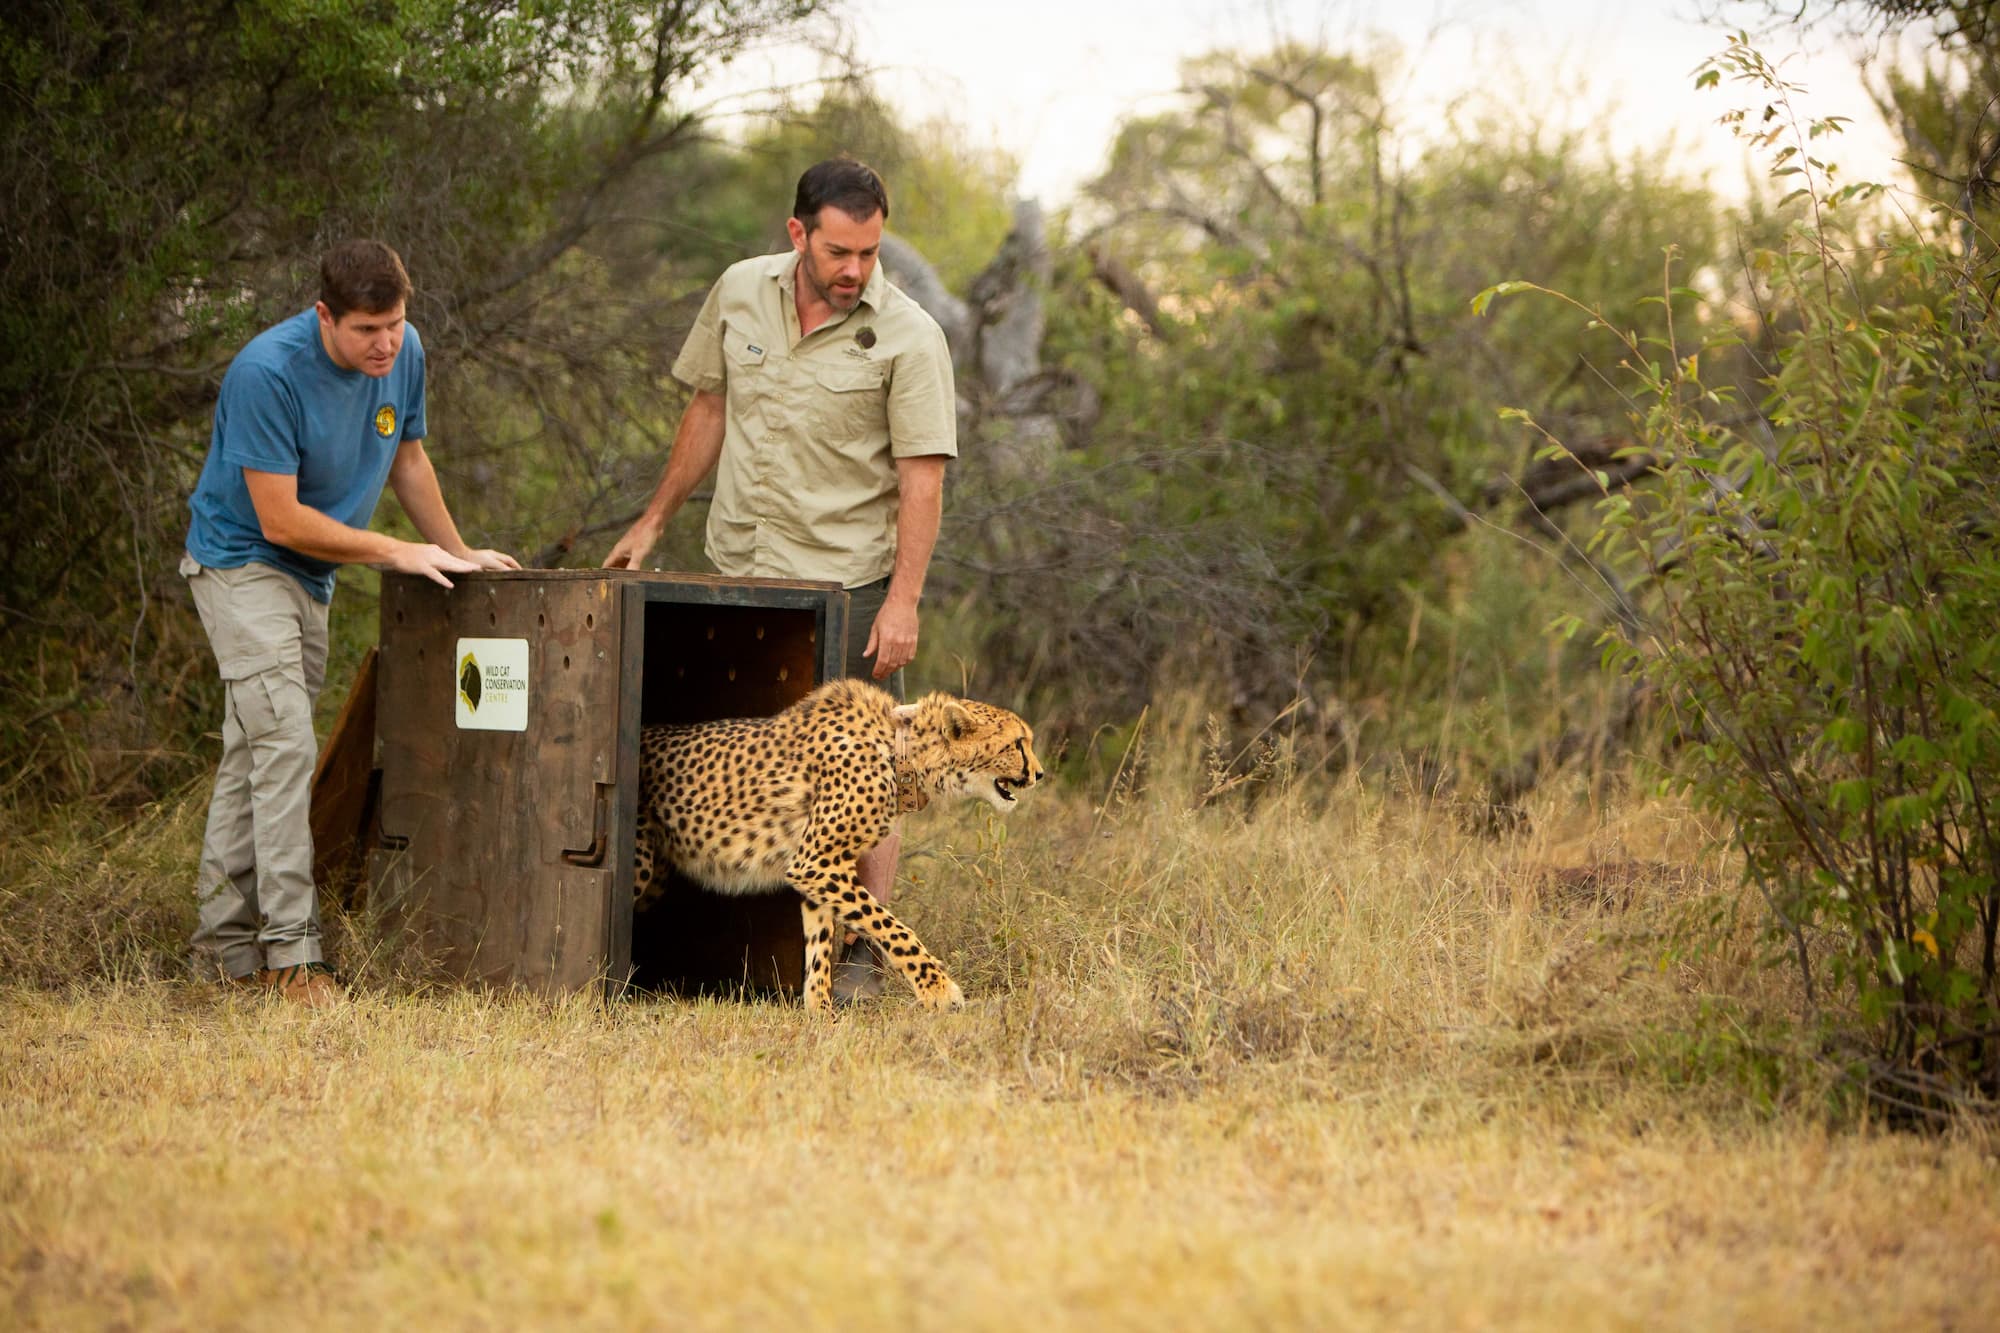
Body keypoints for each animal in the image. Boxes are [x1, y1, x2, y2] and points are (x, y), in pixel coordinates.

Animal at [633, 677, 1042, 1014]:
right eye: (1017, 744)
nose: (1039, 774)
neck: (902, 752)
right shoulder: (816, 863)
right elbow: (893, 928)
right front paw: (938, 989)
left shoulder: (819, 868)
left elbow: (820, 943)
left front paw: (820, 1013)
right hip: (642, 864)